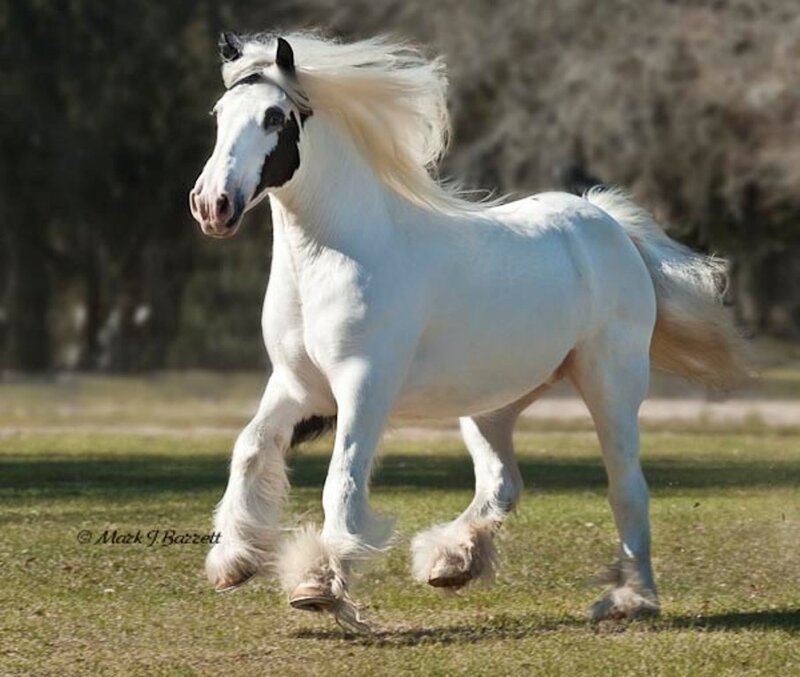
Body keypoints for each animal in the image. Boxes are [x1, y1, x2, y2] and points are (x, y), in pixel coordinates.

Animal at [189, 31, 747, 631]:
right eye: (218, 114)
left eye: (274, 117)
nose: (212, 205)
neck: (333, 256)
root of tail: (607, 224)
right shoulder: (299, 387)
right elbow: (249, 448)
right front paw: (233, 561)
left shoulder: (363, 387)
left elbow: (342, 482)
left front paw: (318, 585)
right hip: (492, 404)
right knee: (502, 482)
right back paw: (451, 562)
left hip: (611, 385)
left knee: (627, 488)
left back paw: (630, 599)